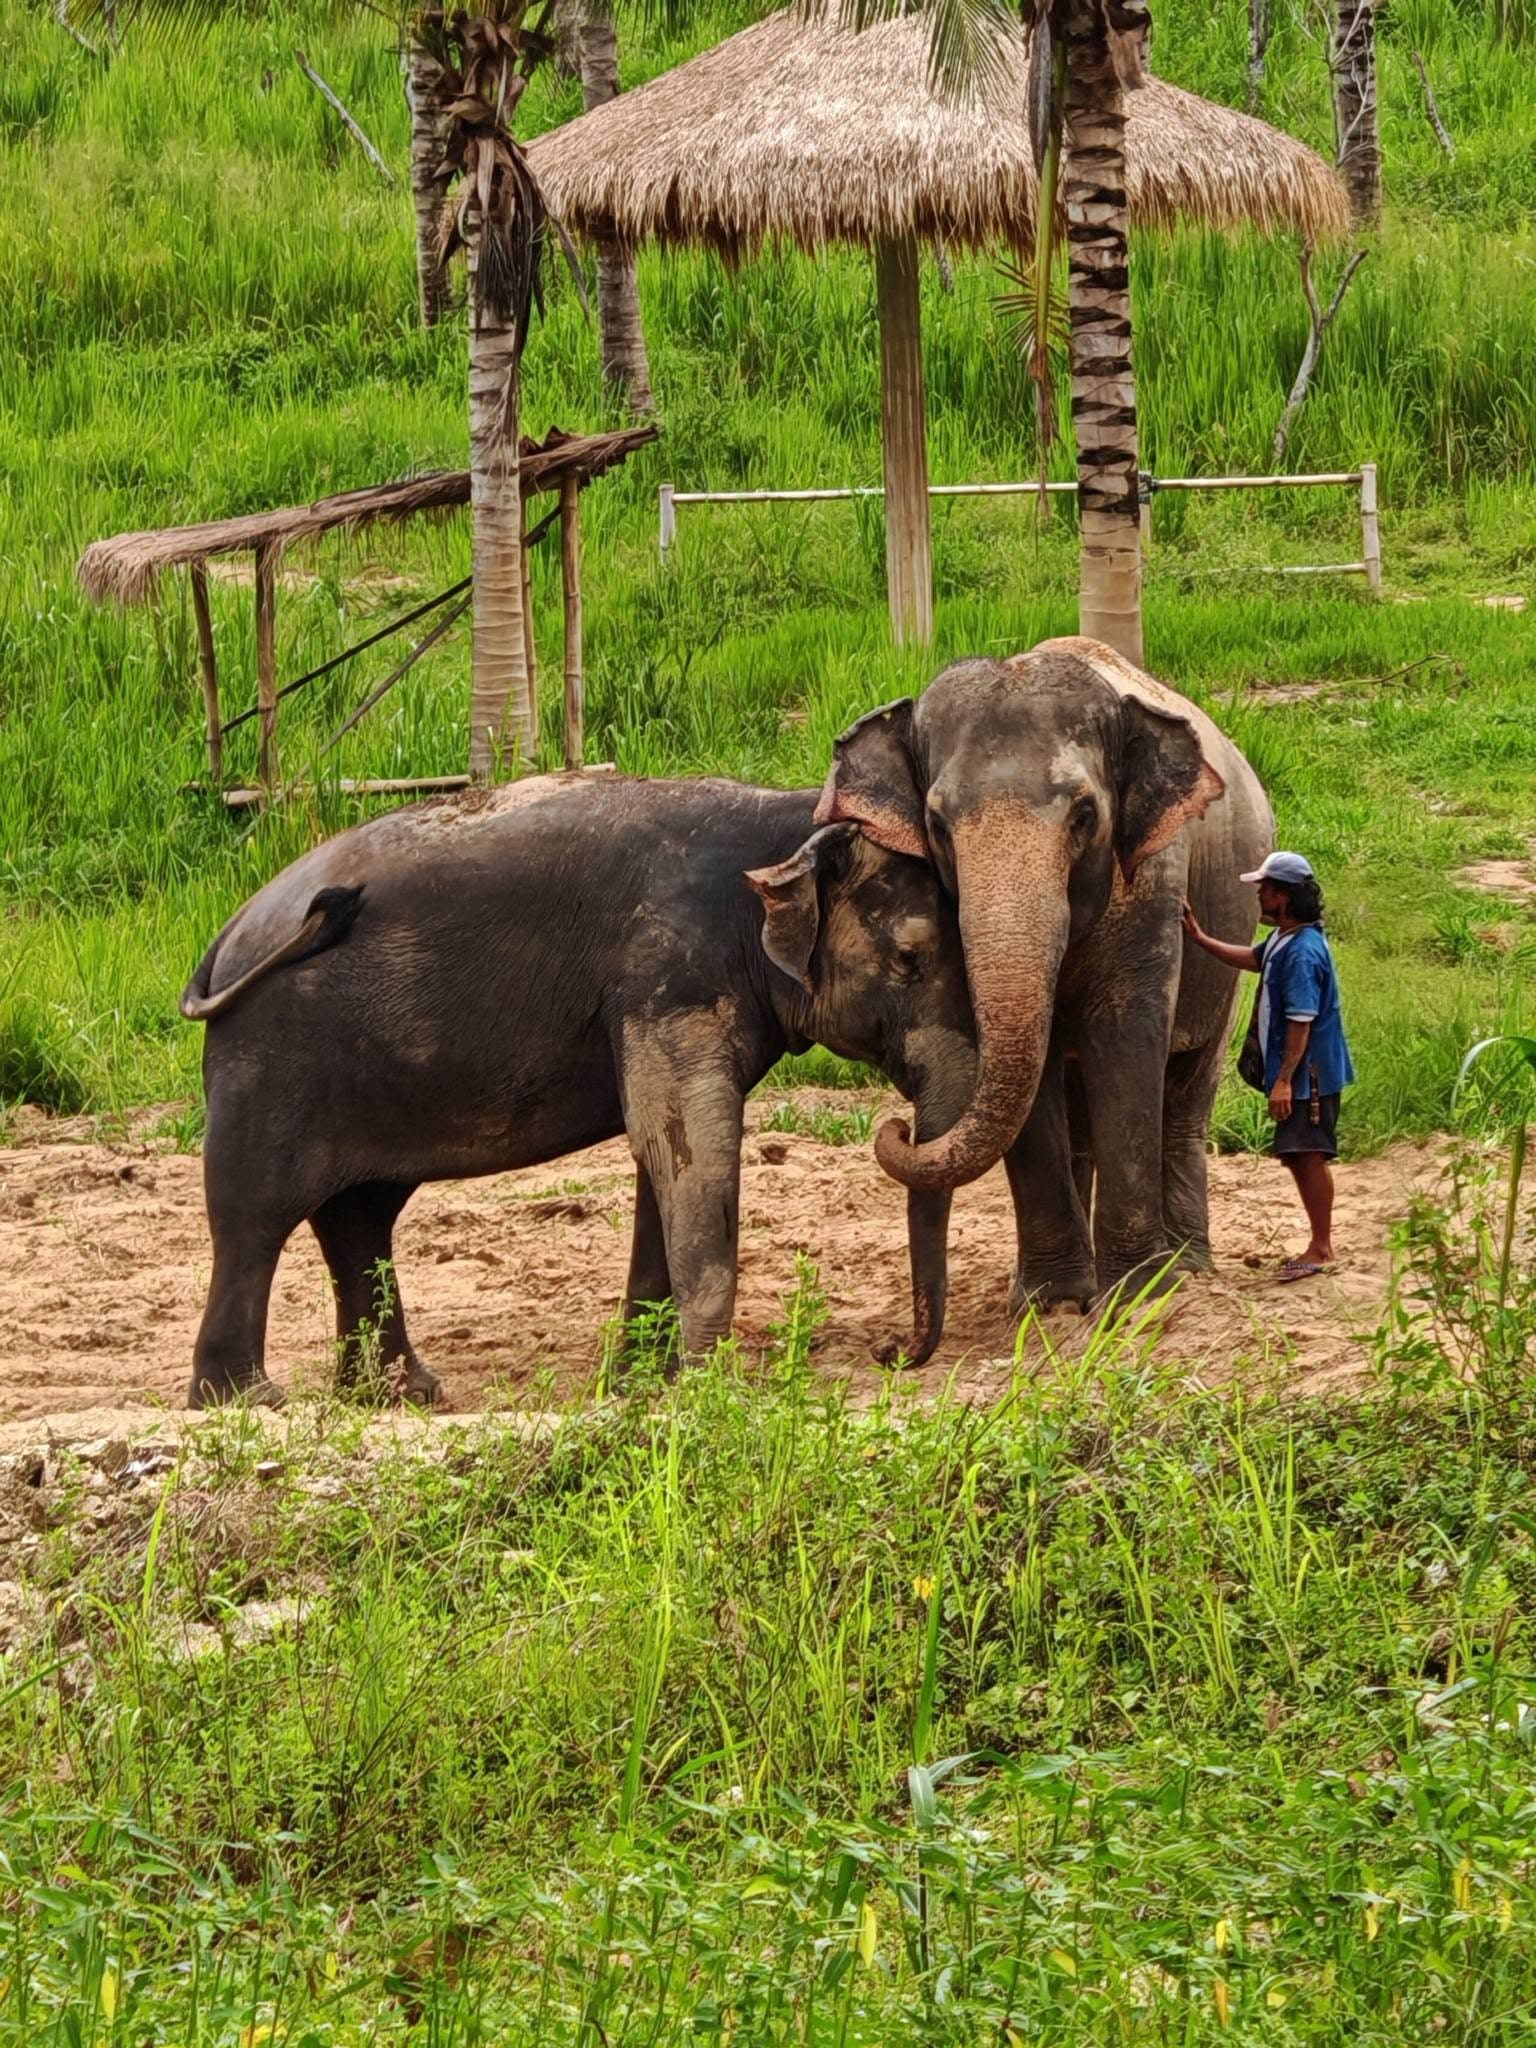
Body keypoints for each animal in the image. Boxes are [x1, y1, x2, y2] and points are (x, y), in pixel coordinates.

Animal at [177, 772, 985, 1409]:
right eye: (910, 959)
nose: (890, 1352)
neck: (788, 819)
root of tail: (226, 937)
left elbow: (663, 1156)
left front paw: (638, 1385)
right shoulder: (666, 971)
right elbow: (688, 1143)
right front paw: (704, 1388)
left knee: (359, 1216)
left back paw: (401, 1396)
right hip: (269, 1057)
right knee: (255, 1215)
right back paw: (248, 1401)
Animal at [815, 636, 1274, 1305]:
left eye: (1084, 815)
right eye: (936, 825)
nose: (896, 1126)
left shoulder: (1155, 877)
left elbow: (1126, 1039)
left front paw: (1137, 1296)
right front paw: (1053, 1302)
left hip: (1231, 948)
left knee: (1189, 1087)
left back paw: (1188, 1266)